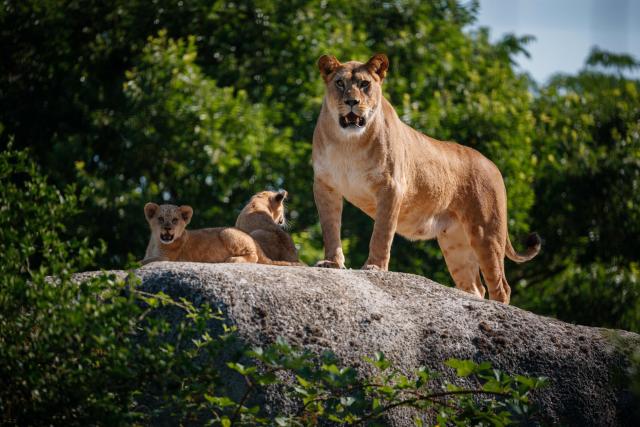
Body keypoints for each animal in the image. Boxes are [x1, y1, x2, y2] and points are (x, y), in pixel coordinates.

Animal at [141, 202, 299, 266]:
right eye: (161, 219)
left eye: (175, 220)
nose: (168, 228)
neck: (156, 242)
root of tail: (257, 245)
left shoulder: (167, 258)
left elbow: (143, 262)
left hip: (227, 232)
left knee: (254, 257)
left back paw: (233, 259)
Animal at [312, 53, 541, 304]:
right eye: (339, 83)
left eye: (364, 84)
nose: (352, 101)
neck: (348, 143)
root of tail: (492, 165)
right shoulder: (324, 185)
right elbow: (330, 227)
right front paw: (332, 262)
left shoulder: (391, 187)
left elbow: (381, 232)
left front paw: (374, 268)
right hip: (455, 243)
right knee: (475, 287)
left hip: (486, 233)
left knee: (501, 287)